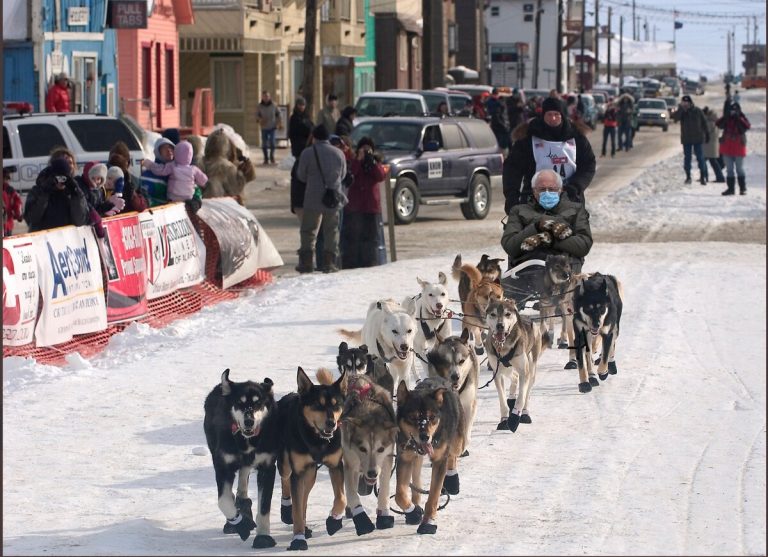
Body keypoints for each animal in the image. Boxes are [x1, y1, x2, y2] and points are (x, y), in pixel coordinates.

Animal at [203, 369, 280, 548]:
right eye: (239, 402)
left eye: (258, 403)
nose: (249, 421)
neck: (246, 440)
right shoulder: (223, 466)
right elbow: (223, 500)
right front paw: (241, 524)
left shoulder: (267, 467)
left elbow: (264, 507)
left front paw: (263, 536)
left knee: (243, 478)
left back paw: (243, 502)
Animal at [276, 367, 348, 550]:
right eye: (318, 404)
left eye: (336, 404)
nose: (331, 423)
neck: (318, 440)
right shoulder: (298, 471)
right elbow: (296, 509)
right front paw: (298, 538)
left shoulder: (336, 465)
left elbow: (341, 498)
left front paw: (334, 519)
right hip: (287, 464)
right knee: (286, 480)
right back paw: (286, 510)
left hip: (310, 475)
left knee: (304, 498)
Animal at [340, 374, 399, 536]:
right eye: (362, 448)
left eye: (381, 449)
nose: (372, 473)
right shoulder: (349, 463)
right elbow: (352, 494)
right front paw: (362, 521)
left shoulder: (386, 461)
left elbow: (384, 489)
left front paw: (383, 515)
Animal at [394, 377, 465, 535]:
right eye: (413, 417)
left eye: (432, 417)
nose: (425, 437)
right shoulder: (404, 458)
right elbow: (399, 494)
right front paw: (413, 512)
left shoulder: (439, 460)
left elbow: (433, 495)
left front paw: (428, 522)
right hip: (415, 459)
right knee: (416, 480)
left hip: (457, 443)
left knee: (453, 455)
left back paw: (452, 480)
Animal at [483, 298, 550, 432]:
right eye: (493, 314)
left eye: (507, 314)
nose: (500, 326)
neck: (503, 346)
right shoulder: (497, 373)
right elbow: (502, 400)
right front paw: (504, 420)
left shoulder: (524, 371)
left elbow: (521, 397)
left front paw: (514, 417)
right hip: (506, 369)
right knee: (514, 377)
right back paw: (511, 398)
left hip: (531, 368)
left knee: (526, 391)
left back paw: (524, 413)